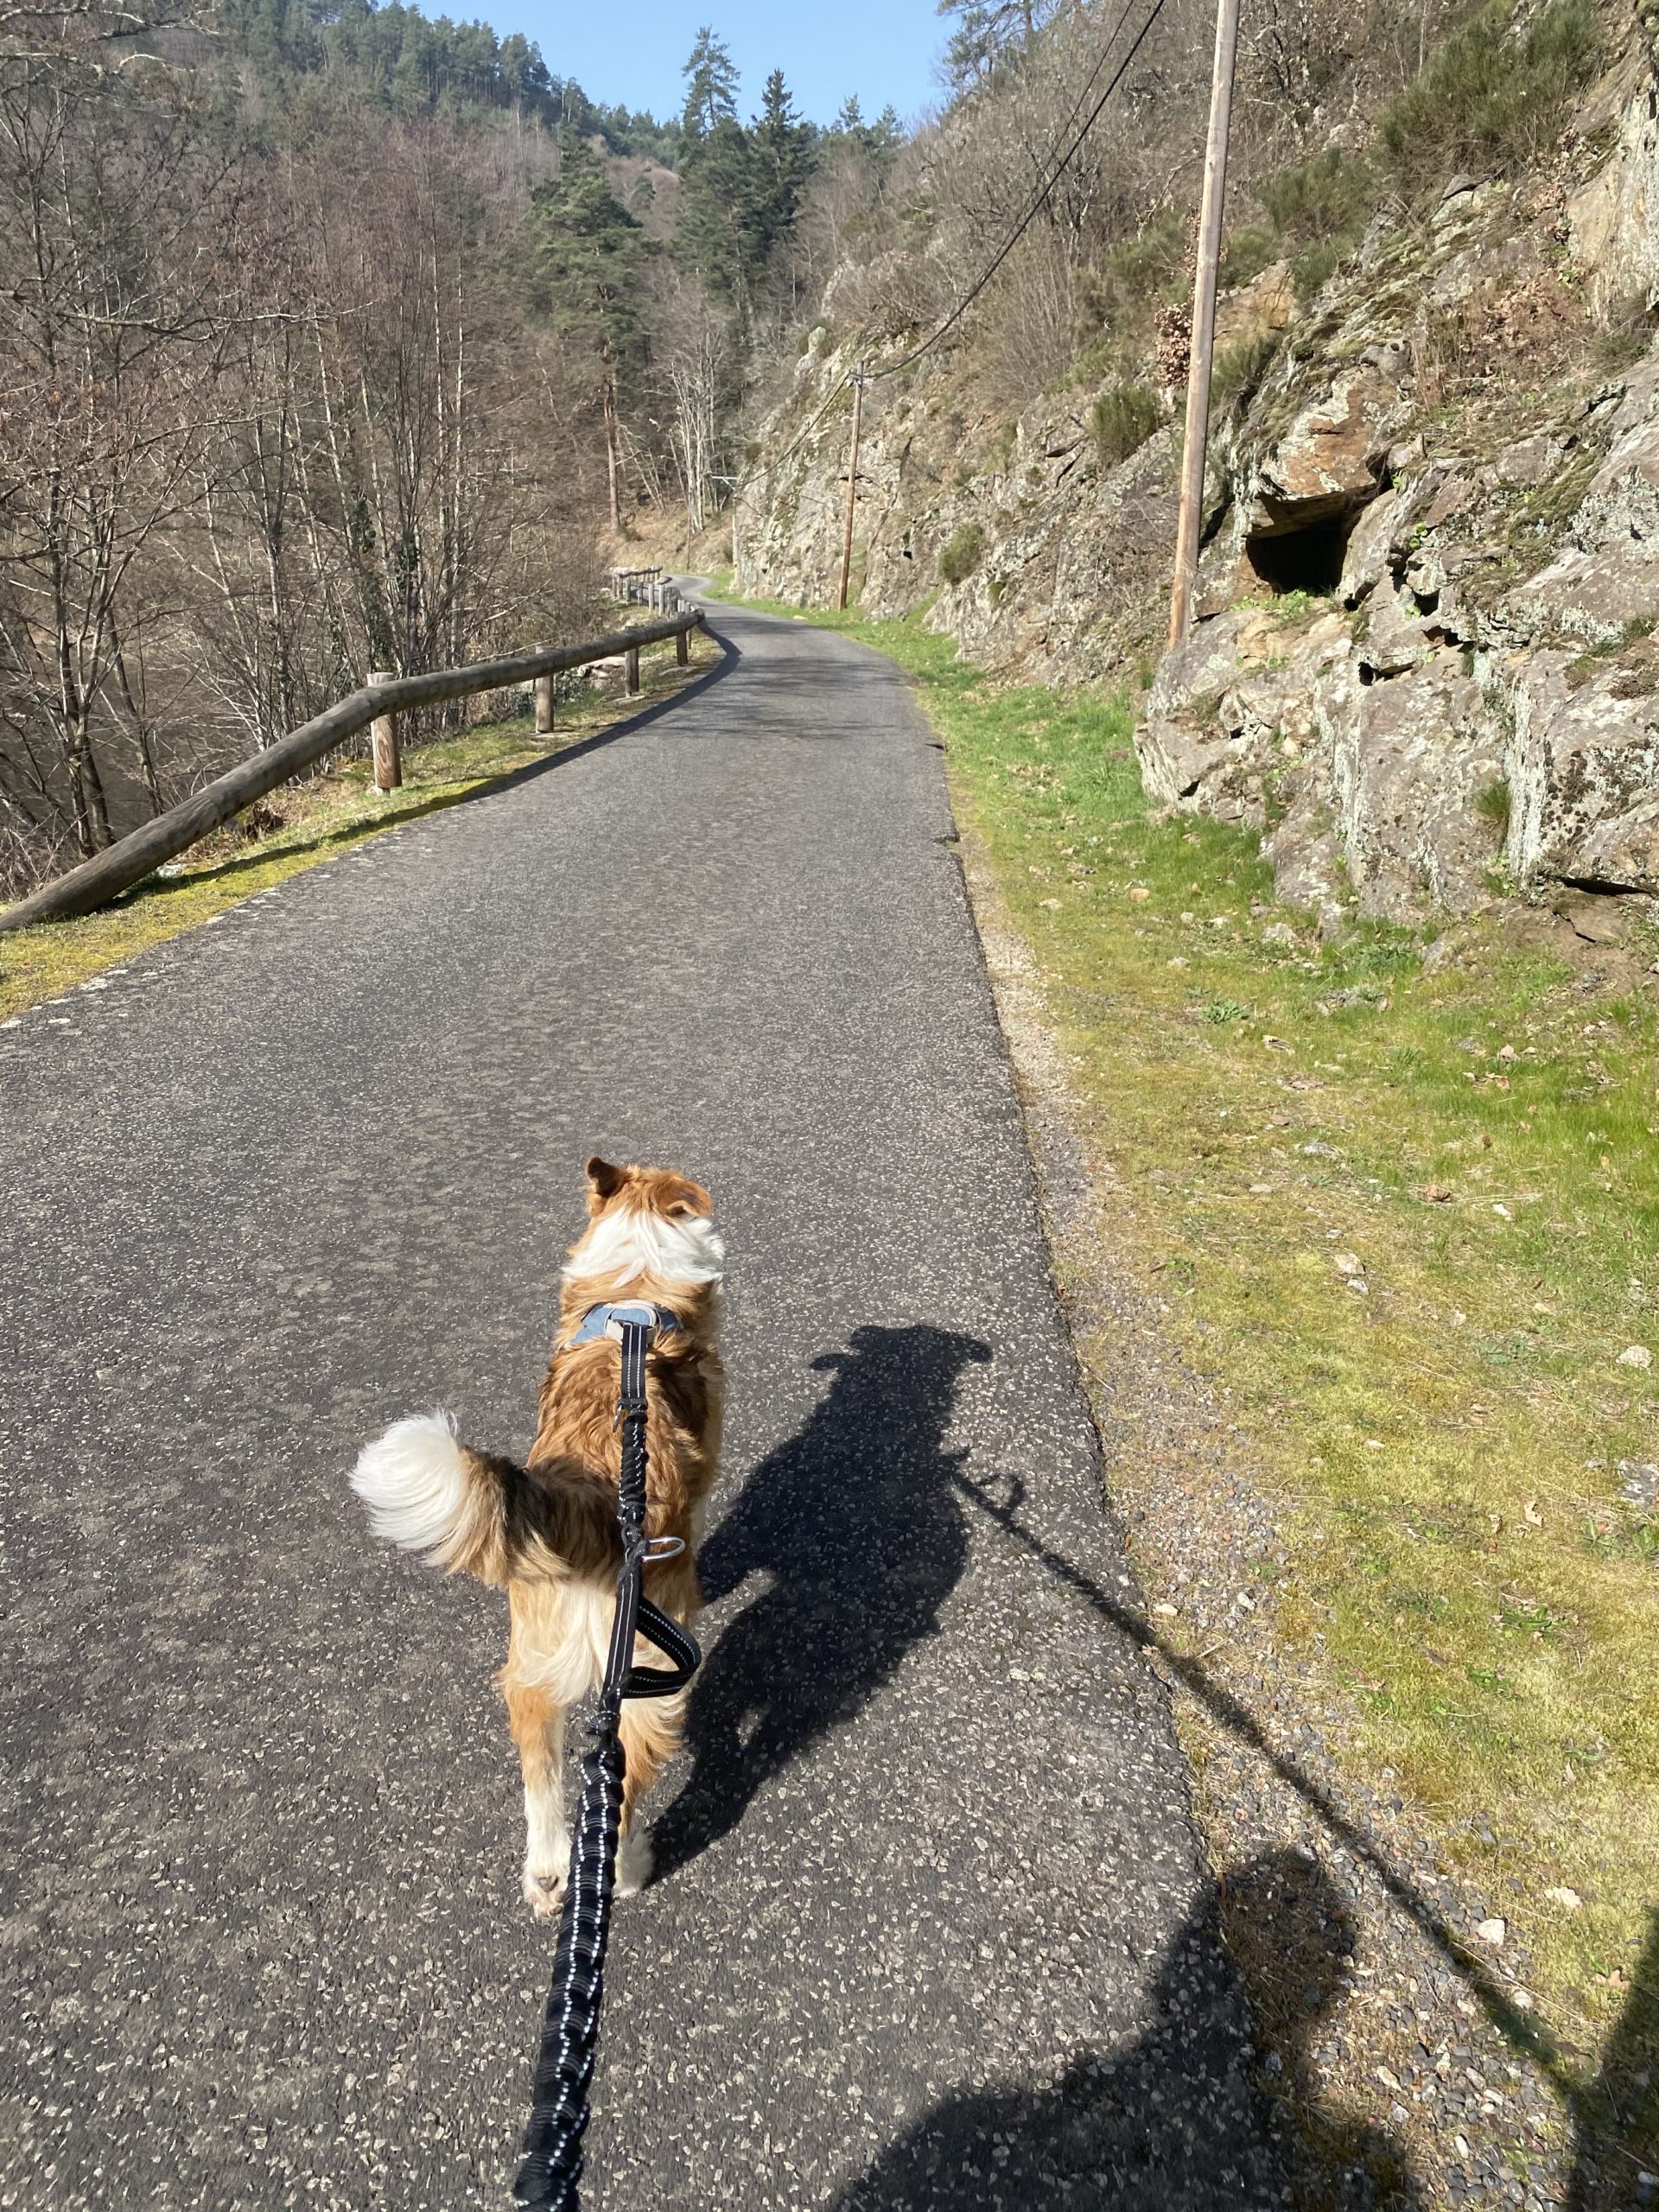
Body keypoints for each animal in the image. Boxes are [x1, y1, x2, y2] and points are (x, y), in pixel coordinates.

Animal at [353, 1167, 725, 1910]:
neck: (635, 1294)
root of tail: (589, 1503)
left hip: (533, 1658)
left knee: (541, 1774)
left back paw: (550, 1872)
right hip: (650, 1677)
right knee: (623, 1794)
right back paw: (626, 1871)